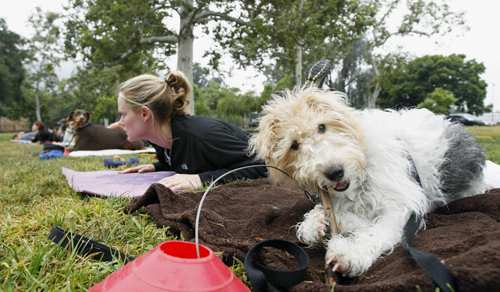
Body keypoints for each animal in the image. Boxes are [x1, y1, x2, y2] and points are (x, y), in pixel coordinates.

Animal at [248, 88, 486, 278]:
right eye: (294, 145)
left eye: (322, 127)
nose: (335, 172)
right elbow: (358, 219)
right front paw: (316, 223)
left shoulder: (402, 207)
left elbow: (377, 233)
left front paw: (349, 253)